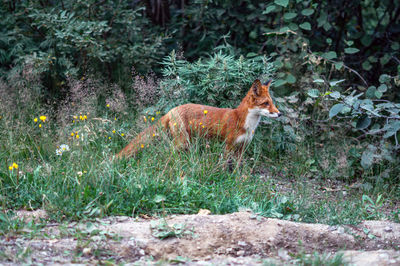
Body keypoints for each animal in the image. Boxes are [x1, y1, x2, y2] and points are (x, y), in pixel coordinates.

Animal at [115, 78, 282, 158]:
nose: (280, 114)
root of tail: (171, 110)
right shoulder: (228, 146)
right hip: (182, 142)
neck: (245, 123)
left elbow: (237, 170)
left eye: (272, 103)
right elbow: (225, 166)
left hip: (187, 142)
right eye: (266, 103)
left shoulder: (242, 147)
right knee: (169, 152)